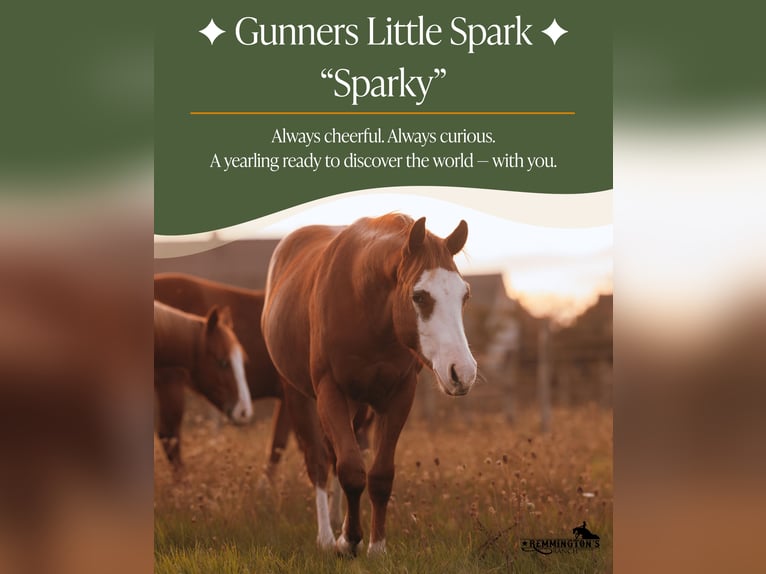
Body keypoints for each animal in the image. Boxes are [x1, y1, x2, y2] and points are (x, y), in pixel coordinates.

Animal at [262, 214, 477, 555]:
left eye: (464, 295)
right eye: (419, 296)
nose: (463, 372)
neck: (367, 307)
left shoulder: (399, 396)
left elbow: (379, 475)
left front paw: (376, 546)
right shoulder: (331, 392)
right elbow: (350, 470)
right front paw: (348, 541)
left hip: (359, 407)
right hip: (298, 395)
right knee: (319, 463)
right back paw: (327, 536)